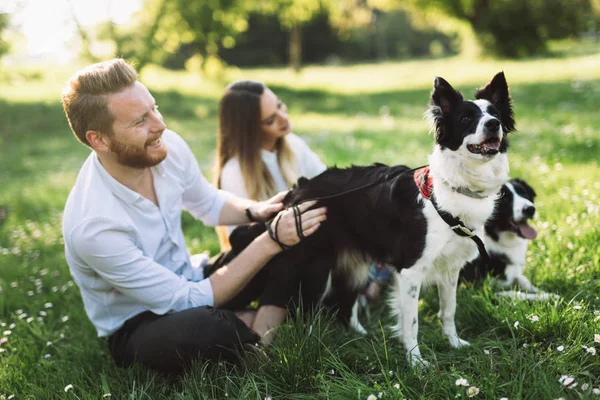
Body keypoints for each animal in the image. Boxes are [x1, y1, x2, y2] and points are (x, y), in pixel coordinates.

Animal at [232, 71, 512, 366]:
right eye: (466, 119)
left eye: (495, 114)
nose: (493, 124)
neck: (454, 186)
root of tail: (299, 188)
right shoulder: (410, 270)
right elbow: (411, 322)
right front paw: (415, 362)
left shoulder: (450, 268)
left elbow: (449, 310)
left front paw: (454, 344)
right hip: (314, 269)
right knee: (305, 314)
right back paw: (308, 348)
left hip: (354, 266)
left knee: (345, 307)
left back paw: (359, 338)